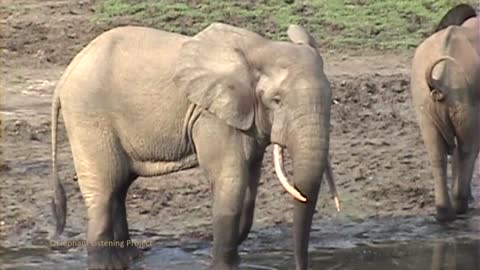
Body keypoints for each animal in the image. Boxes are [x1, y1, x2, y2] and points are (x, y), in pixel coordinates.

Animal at [50, 23, 340, 270]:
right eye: (277, 100)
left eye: (331, 99)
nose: (300, 266)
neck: (262, 50)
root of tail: (66, 75)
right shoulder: (211, 116)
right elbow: (231, 182)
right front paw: (222, 266)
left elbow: (248, 189)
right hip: (89, 116)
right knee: (104, 190)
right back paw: (108, 264)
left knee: (118, 188)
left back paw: (132, 258)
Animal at [408, 4, 480, 223]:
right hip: (464, 97)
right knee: (467, 147)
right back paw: (461, 206)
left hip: (424, 101)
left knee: (437, 153)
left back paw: (444, 214)